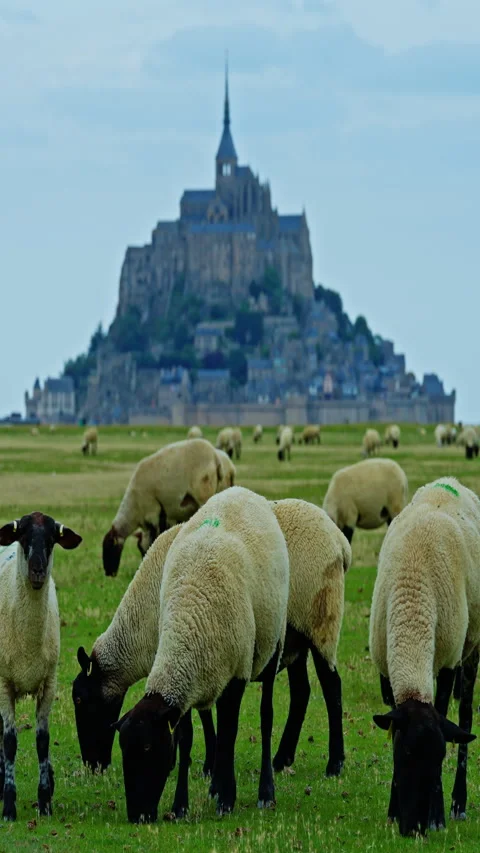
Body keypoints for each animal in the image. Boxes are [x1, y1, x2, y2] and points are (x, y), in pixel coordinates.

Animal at [0, 513, 82, 820]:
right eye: (22, 537)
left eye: (52, 540)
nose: (37, 572)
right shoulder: (3, 684)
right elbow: (9, 743)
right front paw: (9, 806)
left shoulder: (49, 683)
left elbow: (43, 741)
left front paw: (45, 801)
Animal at [102, 438, 224, 576]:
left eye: (110, 547)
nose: (108, 573)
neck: (133, 509)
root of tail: (215, 457)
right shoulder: (162, 517)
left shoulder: (152, 512)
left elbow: (153, 538)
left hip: (203, 491)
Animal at [113, 486, 289, 823]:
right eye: (124, 750)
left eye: (148, 749)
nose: (137, 816)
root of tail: (241, 490)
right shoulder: (184, 688)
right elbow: (187, 740)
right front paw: (181, 805)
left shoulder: (237, 673)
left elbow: (231, 732)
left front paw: (227, 801)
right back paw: (217, 786)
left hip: (272, 643)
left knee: (266, 716)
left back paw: (266, 792)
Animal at [369, 478, 480, 836]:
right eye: (403, 754)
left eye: (438, 759)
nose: (415, 827)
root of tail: (449, 481)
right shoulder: (388, 672)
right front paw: (393, 810)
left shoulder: (448, 662)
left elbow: (446, 714)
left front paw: (439, 815)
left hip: (470, 646)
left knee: (466, 718)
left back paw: (459, 803)